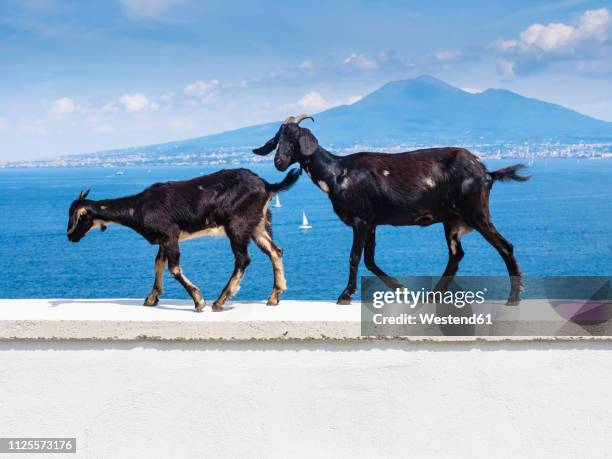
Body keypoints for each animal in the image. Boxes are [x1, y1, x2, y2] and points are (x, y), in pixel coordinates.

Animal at [67, 169, 302, 312]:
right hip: (258, 224)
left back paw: (220, 300)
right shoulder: (163, 239)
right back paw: (274, 296)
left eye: (78, 216)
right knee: (275, 251)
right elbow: (158, 264)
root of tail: (268, 185)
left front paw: (198, 300)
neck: (139, 207)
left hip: (237, 225)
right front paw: (151, 298)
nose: (69, 236)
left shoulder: (170, 233)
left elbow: (174, 268)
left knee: (243, 259)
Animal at [253, 116, 532, 306]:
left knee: (505, 247)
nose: (279, 162)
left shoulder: (360, 220)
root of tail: (486, 172)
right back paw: (433, 295)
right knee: (456, 256)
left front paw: (345, 295)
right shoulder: (372, 222)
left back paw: (513, 298)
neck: (338, 172)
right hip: (452, 220)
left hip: (475, 212)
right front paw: (400, 288)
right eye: (277, 140)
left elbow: (355, 257)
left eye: (296, 139)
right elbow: (369, 259)